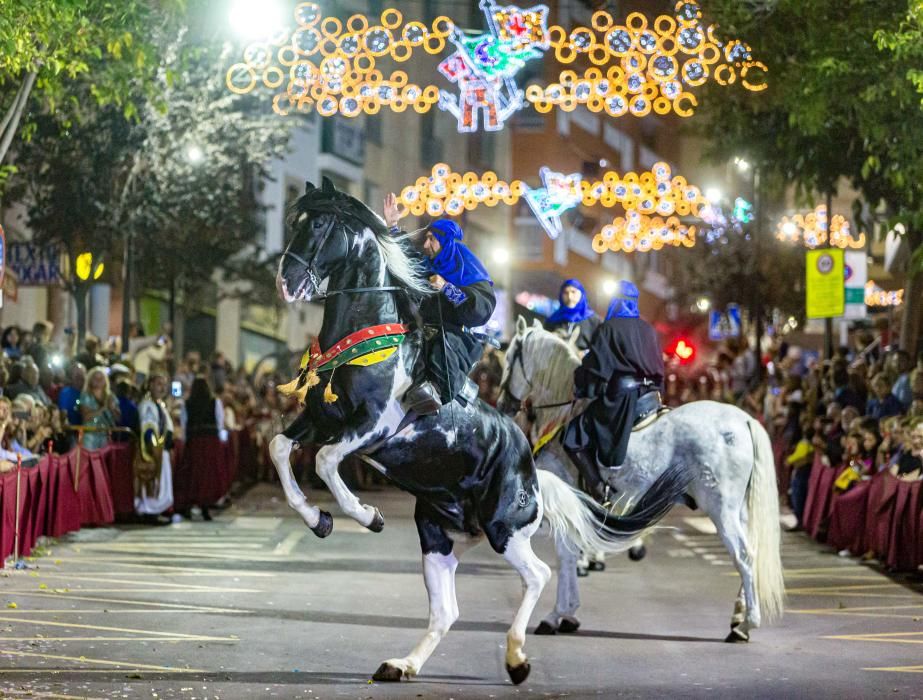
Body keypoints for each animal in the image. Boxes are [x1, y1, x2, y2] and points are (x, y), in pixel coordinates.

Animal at [270, 179, 696, 684]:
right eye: (294, 220)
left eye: (317, 225)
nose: (285, 282)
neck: (368, 339)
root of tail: (533, 473)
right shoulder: (323, 419)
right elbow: (280, 448)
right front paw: (318, 520)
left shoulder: (373, 425)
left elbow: (324, 461)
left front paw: (366, 514)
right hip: (439, 534)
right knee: (447, 611)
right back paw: (403, 664)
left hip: (504, 527)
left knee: (538, 575)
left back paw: (517, 658)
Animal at [498, 320, 788, 644]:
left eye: (509, 359)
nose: (503, 404)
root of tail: (744, 420)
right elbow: (571, 554)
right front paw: (568, 613)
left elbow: (566, 555)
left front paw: (556, 615)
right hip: (739, 511)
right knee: (751, 553)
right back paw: (738, 617)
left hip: (721, 509)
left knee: (744, 556)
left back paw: (747, 623)